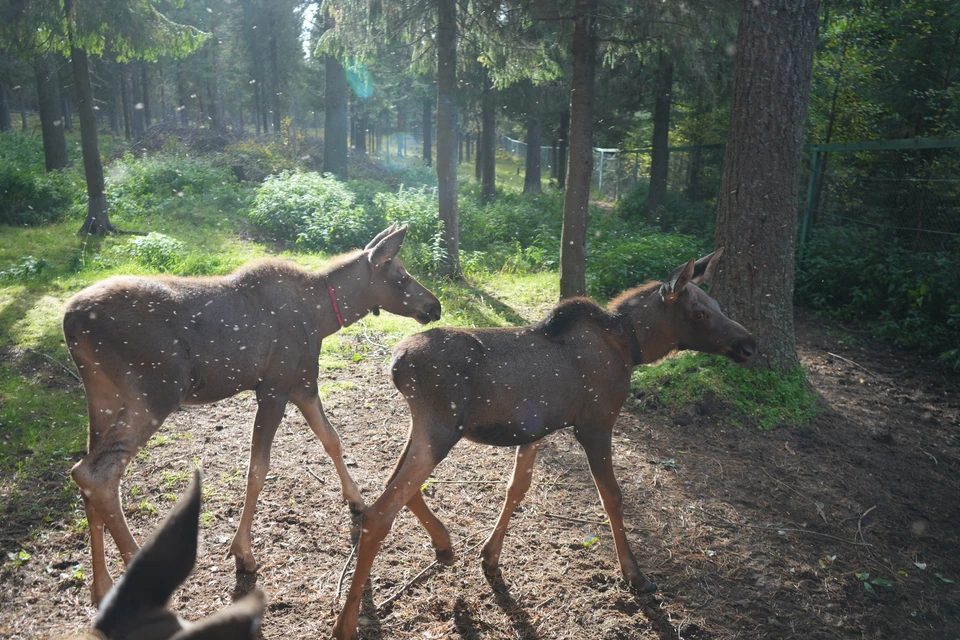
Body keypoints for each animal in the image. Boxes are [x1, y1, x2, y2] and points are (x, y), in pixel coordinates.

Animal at [334, 250, 752, 640]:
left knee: (396, 486)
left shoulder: (537, 430)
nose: (748, 344)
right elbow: (612, 498)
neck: (630, 348)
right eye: (699, 313)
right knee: (379, 512)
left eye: (718, 305)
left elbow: (517, 488)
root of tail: (395, 364)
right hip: (440, 428)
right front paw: (635, 574)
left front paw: (489, 557)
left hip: (425, 426)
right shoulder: (595, 424)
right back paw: (346, 622)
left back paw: (444, 545)